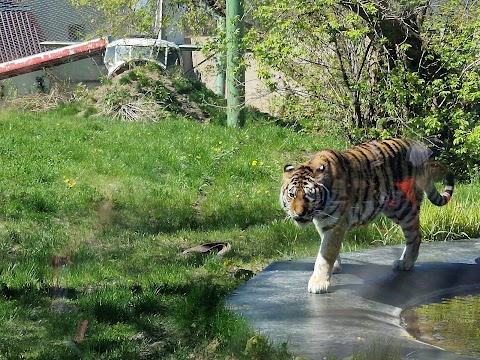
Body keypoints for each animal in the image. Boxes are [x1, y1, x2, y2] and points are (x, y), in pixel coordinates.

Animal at [278, 138, 454, 292]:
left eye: (309, 196)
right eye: (292, 195)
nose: (299, 214)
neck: (319, 211)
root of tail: (418, 146)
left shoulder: (335, 225)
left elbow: (325, 255)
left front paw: (319, 283)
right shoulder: (324, 224)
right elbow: (325, 248)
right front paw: (334, 267)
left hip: (404, 208)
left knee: (416, 235)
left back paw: (406, 263)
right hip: (392, 209)